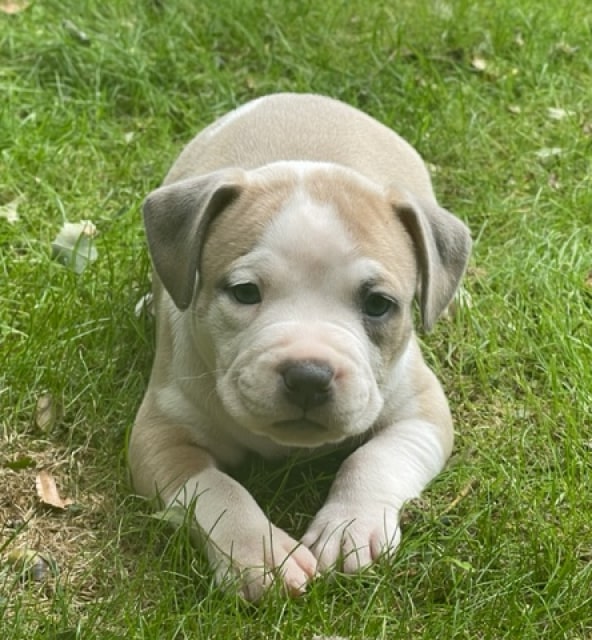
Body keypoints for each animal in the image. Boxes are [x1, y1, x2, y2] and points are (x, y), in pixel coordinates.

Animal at [130, 92, 472, 604]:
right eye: (245, 292)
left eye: (378, 304)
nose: (308, 376)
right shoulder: (160, 437)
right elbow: (217, 489)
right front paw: (261, 554)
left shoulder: (421, 413)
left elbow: (373, 458)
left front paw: (351, 526)